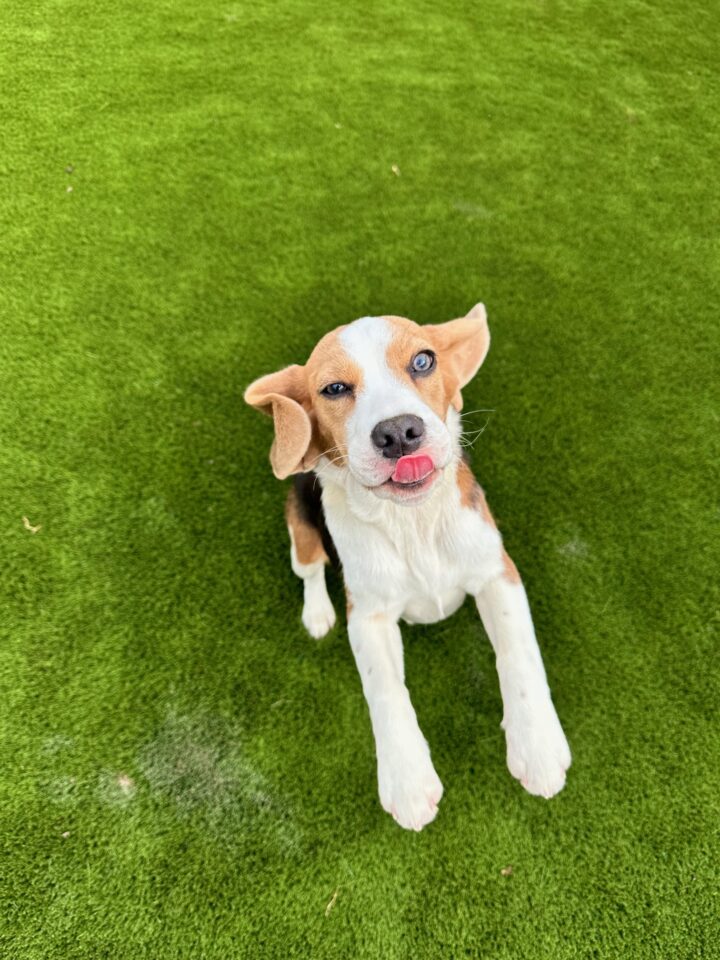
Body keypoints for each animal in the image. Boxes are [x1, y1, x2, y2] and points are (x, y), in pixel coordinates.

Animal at [245, 304, 572, 828]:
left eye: (423, 361)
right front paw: (406, 778)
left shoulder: (497, 571)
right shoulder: (368, 614)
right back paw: (316, 614)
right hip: (300, 527)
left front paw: (536, 744)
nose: (398, 432)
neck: (412, 521)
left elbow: (518, 654)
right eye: (333, 388)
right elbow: (385, 690)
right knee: (311, 571)